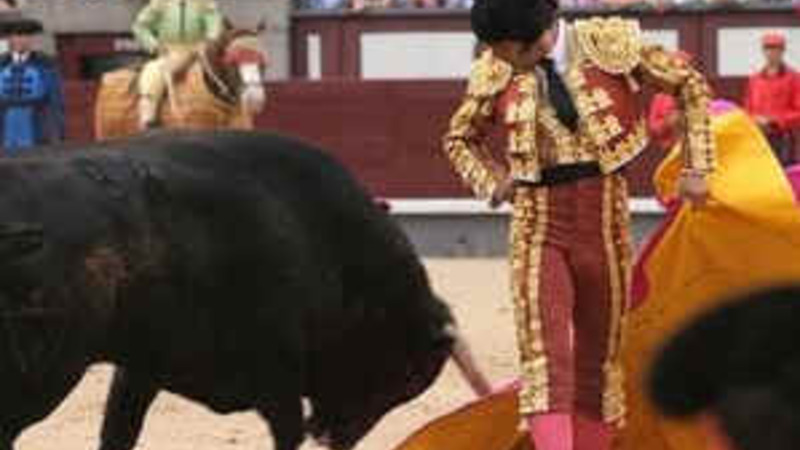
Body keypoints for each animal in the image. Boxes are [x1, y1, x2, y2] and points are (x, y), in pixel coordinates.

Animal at [0, 131, 455, 450]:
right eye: (408, 375)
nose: (332, 437)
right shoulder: (279, 367)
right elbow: (286, 432)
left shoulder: (144, 363)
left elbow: (118, 430)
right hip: (45, 371)